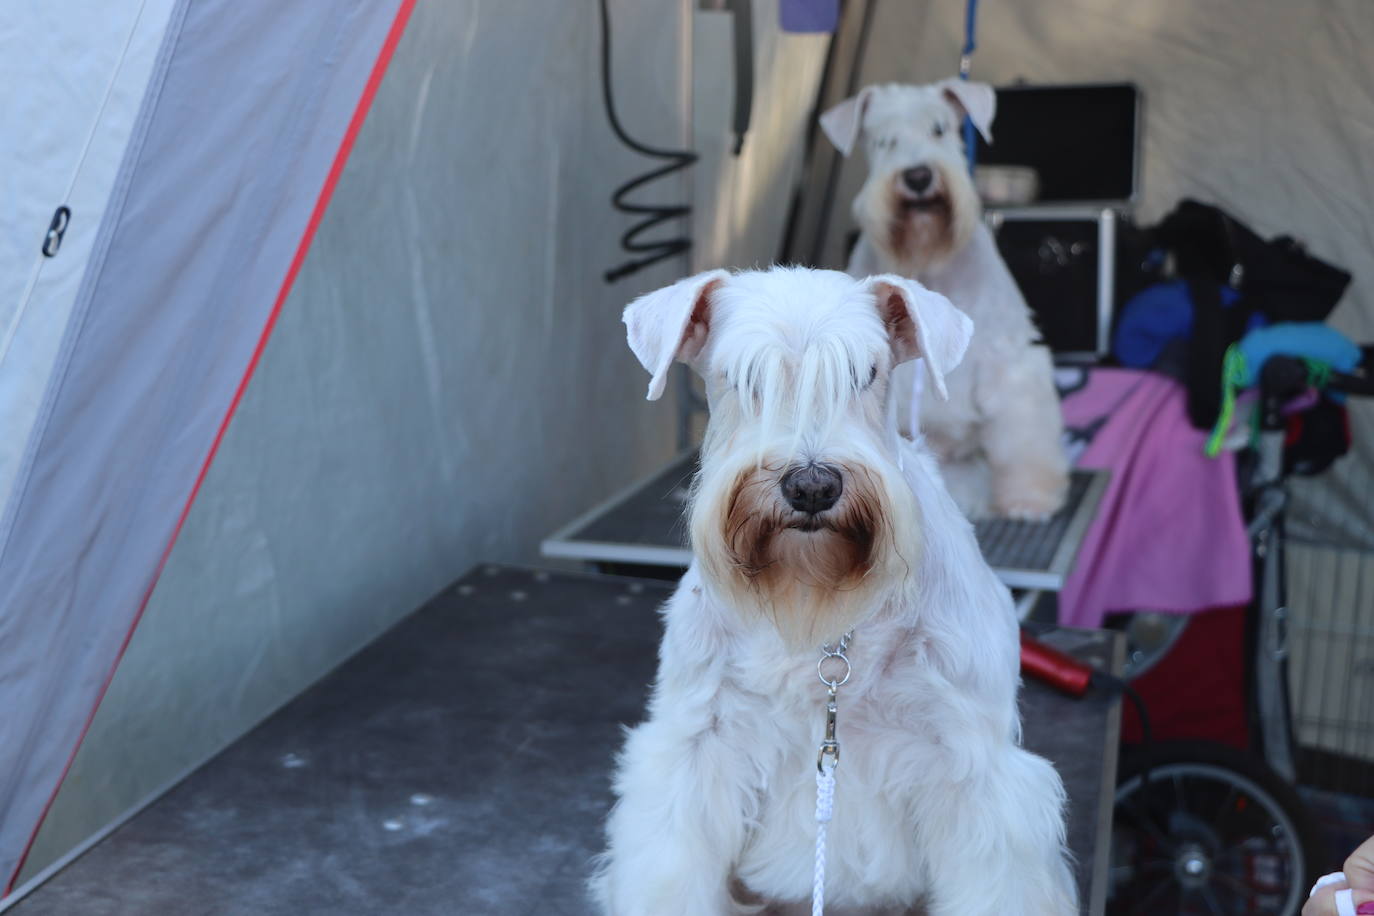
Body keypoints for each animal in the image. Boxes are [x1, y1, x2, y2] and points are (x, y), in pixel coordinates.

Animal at [818, 80, 1066, 521]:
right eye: (883, 139)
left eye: (939, 129)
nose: (918, 176)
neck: (926, 258)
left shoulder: (1010, 363)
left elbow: (1022, 439)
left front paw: (1029, 498)